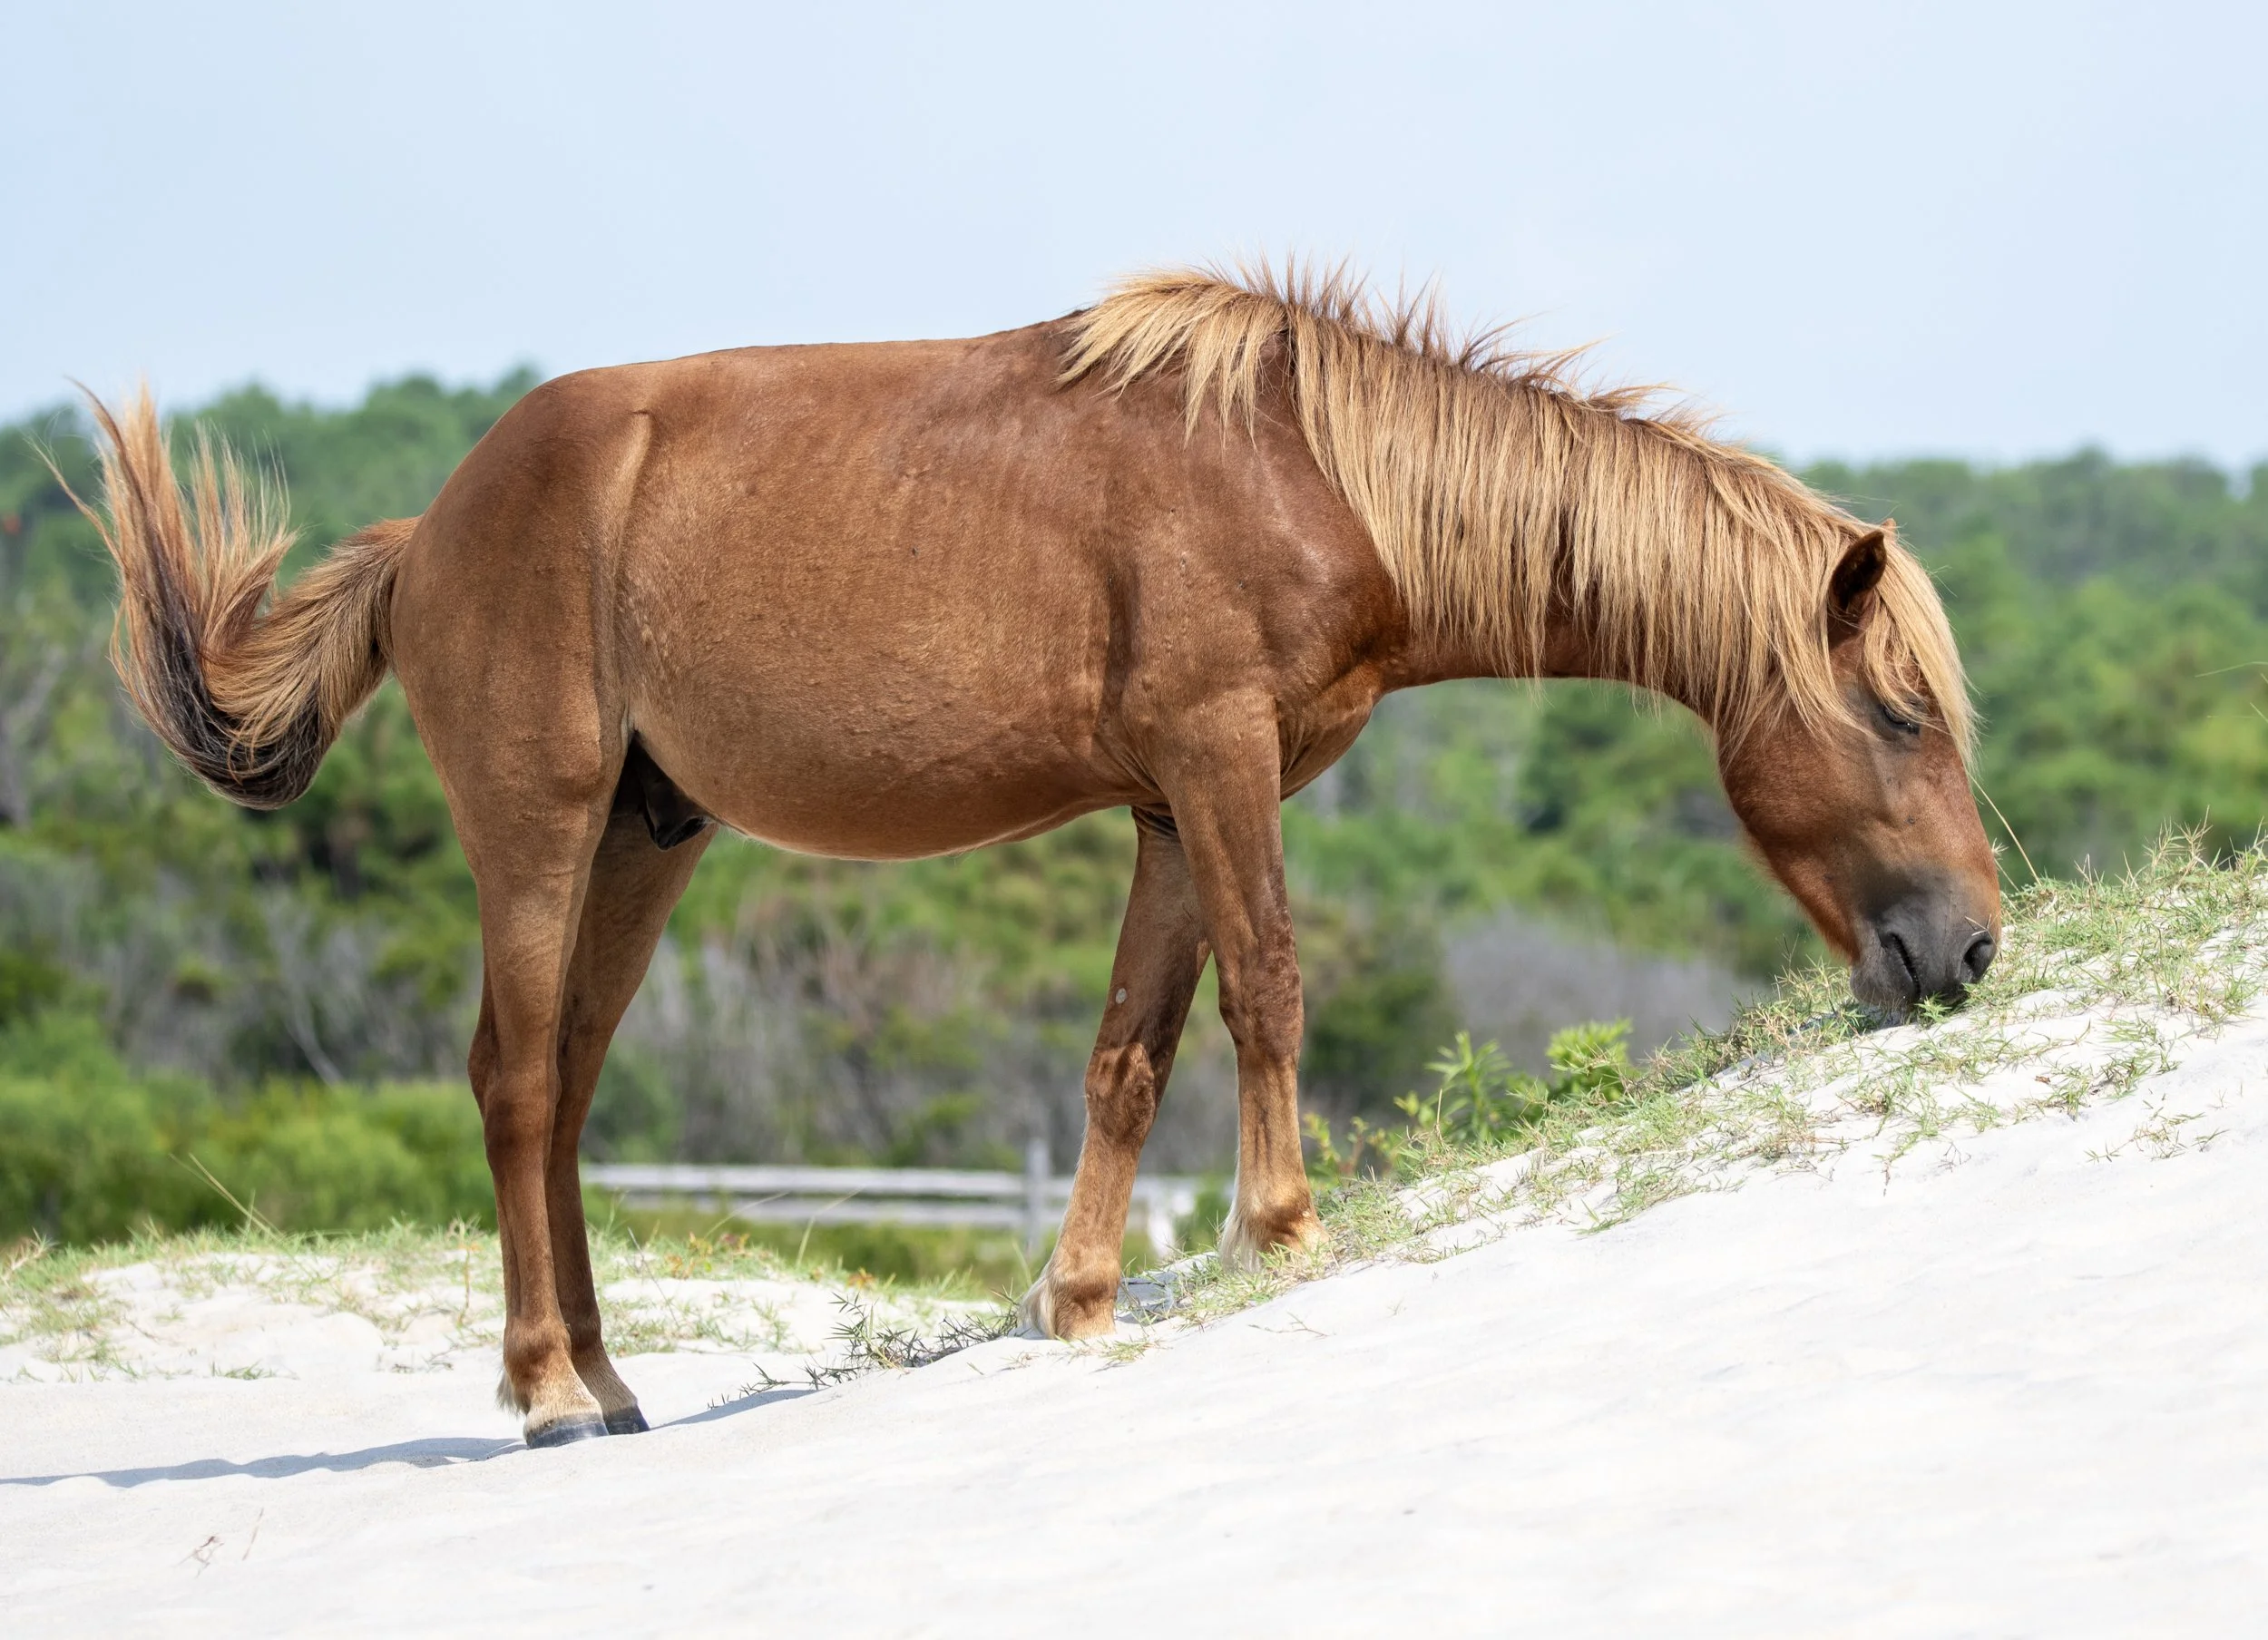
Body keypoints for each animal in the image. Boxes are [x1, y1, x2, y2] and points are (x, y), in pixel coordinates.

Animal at [78, 266, 1999, 1446]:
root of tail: (433, 523)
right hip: (540, 832)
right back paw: (545, 1388)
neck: (1308, 466)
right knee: (516, 1081)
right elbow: (1269, 990)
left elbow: (1128, 1051)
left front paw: (1076, 1294)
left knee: (565, 1083)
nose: (1971, 947)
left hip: (643, 841)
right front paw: (1283, 1228)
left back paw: (611, 1386)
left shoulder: (1167, 802)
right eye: (1903, 713)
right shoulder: (1224, 763)